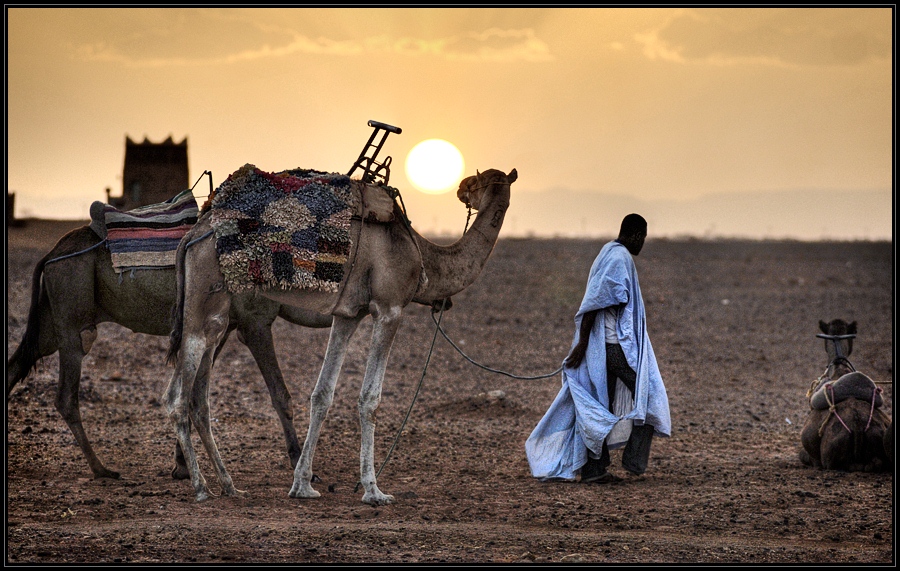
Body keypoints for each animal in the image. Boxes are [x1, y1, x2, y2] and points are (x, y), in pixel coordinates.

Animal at [7, 226, 332, 480]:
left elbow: (192, 391)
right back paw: (101, 469)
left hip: (51, 320)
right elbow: (280, 395)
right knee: (65, 395)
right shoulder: (254, 321)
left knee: (17, 365)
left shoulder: (222, 328)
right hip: (71, 310)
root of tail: (52, 253)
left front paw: (182, 466)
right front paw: (300, 464)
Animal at [166, 166, 516, 504]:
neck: (422, 255)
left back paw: (229, 486)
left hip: (216, 318)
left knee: (196, 396)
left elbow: (322, 394)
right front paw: (373, 491)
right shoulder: (389, 309)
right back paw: (200, 487)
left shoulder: (348, 314)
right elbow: (370, 399)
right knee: (177, 398)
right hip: (205, 303)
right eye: (480, 180)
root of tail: (192, 236)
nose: (462, 186)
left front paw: (302, 485)